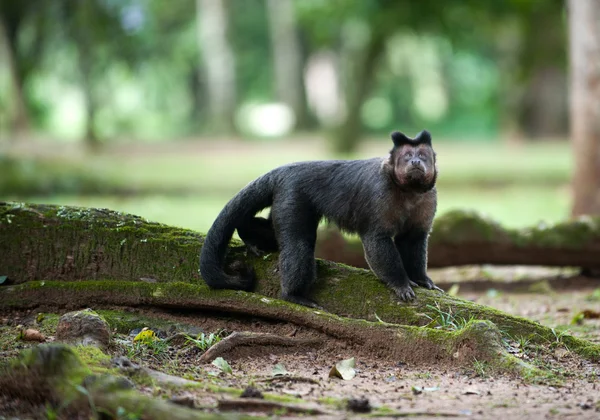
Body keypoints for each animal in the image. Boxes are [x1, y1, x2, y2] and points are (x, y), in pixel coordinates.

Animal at [200, 130, 440, 308]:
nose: (416, 161)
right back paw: (292, 295)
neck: (408, 190)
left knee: (272, 231)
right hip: (292, 196)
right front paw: (400, 284)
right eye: (407, 156)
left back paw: (248, 235)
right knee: (299, 244)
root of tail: (284, 170)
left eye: (422, 155)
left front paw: (422, 279)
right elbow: (377, 239)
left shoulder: (429, 198)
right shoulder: (380, 192)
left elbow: (414, 239)